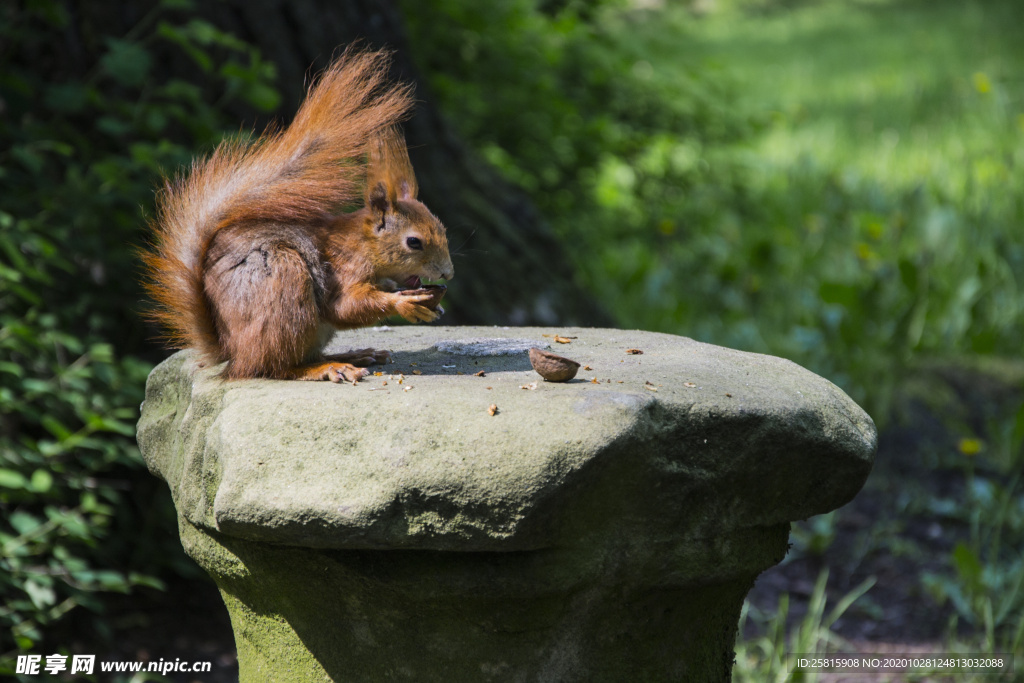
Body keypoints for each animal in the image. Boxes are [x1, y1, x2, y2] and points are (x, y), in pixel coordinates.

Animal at [141, 49, 452, 385]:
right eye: (414, 242)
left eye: (443, 230)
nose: (448, 274)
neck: (364, 244)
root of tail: (231, 352)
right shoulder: (344, 268)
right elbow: (344, 307)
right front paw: (404, 303)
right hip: (284, 286)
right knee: (275, 368)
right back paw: (329, 368)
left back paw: (351, 356)